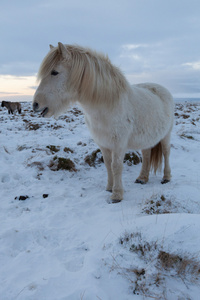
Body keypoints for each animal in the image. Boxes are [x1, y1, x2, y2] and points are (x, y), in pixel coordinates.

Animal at [32, 42, 173, 203]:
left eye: (54, 72)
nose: (35, 104)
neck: (107, 105)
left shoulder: (119, 144)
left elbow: (116, 166)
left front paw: (117, 195)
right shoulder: (103, 144)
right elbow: (107, 165)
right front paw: (109, 188)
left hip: (166, 135)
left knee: (166, 152)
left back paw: (166, 177)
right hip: (146, 138)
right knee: (147, 154)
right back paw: (142, 178)